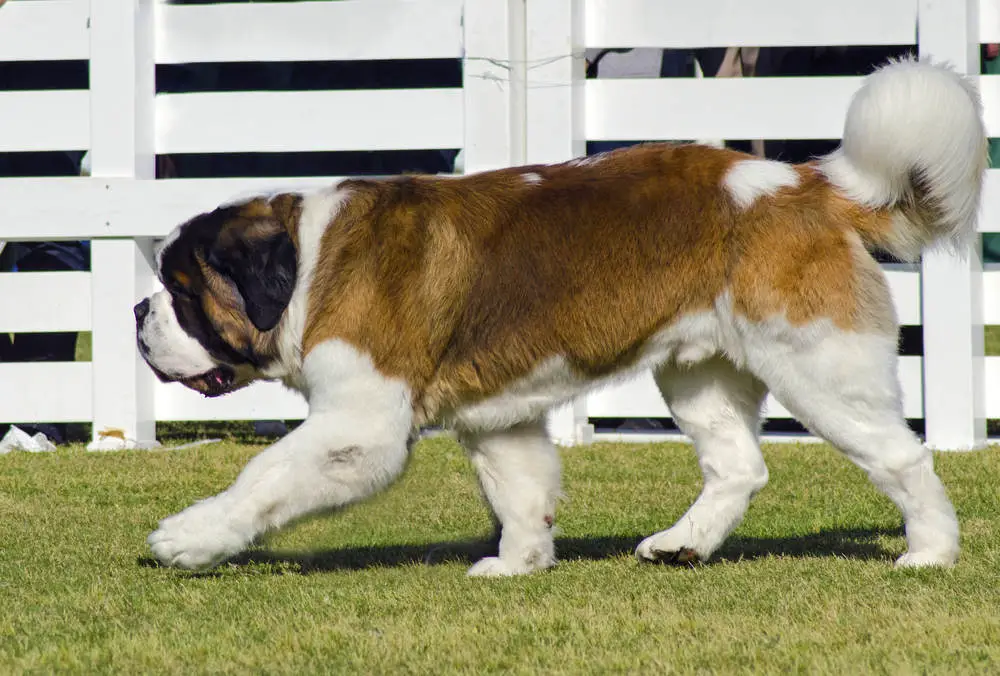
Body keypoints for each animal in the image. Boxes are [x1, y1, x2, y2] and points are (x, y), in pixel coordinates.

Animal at [137, 58, 988, 576]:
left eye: (182, 289)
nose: (138, 310)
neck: (307, 262)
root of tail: (801, 183)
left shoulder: (358, 426)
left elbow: (267, 476)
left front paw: (190, 537)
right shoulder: (497, 417)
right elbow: (520, 486)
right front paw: (517, 563)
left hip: (817, 364)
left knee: (901, 456)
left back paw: (931, 551)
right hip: (699, 371)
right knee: (738, 465)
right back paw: (683, 544)